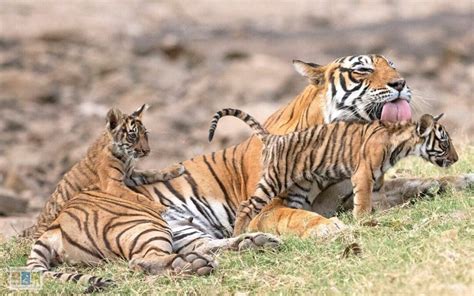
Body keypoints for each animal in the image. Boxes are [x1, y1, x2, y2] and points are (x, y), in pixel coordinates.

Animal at [25, 104, 215, 292]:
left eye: (146, 134)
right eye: (133, 135)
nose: (147, 151)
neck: (125, 156)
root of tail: (51, 231)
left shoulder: (131, 175)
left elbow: (151, 172)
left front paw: (176, 169)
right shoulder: (114, 185)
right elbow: (139, 198)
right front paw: (166, 209)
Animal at [208, 107, 460, 235]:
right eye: (445, 143)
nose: (457, 159)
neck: (401, 143)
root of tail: (273, 138)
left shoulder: (375, 178)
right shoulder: (363, 174)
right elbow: (363, 202)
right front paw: (363, 221)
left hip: (298, 188)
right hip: (274, 179)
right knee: (246, 206)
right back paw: (238, 235)